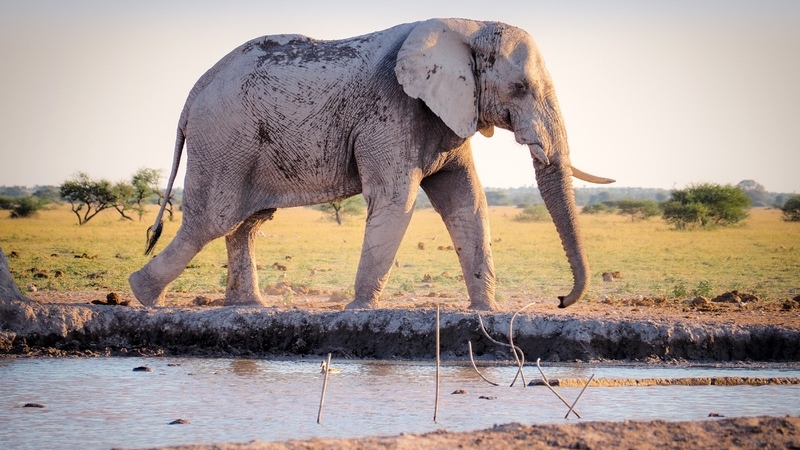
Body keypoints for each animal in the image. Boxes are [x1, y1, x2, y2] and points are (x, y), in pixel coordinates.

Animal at [130, 19, 612, 312]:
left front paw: (486, 312)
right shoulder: (392, 110)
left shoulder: (445, 114)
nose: (560, 301)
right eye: (520, 87)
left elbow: (467, 201)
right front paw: (359, 309)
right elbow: (396, 200)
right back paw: (143, 295)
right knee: (211, 220)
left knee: (246, 222)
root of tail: (195, 91)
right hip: (225, 139)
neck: (467, 25)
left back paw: (248, 307)